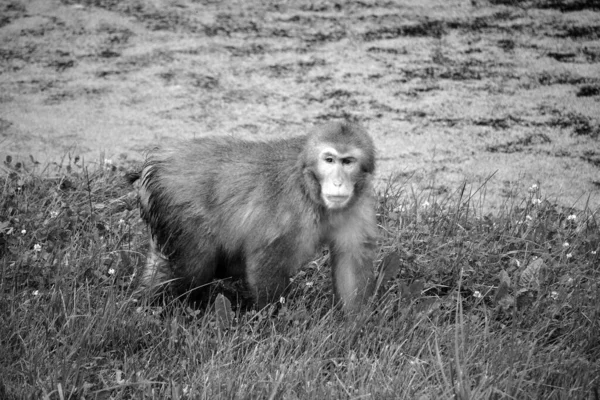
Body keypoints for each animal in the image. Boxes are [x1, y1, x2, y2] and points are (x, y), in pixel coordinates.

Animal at [133, 120, 378, 314]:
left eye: (348, 162)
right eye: (329, 160)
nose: (338, 182)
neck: (310, 188)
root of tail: (156, 162)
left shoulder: (358, 206)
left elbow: (350, 261)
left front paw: (356, 325)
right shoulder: (293, 210)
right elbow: (265, 260)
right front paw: (273, 319)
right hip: (180, 208)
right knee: (194, 269)